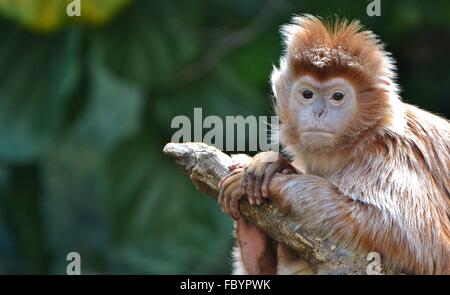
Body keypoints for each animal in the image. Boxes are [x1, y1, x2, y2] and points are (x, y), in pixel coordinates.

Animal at [219, 15, 450, 276]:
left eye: (337, 96)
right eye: (307, 94)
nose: (318, 112)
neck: (357, 142)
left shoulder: (388, 153)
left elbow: (422, 244)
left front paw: (277, 179)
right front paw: (273, 164)